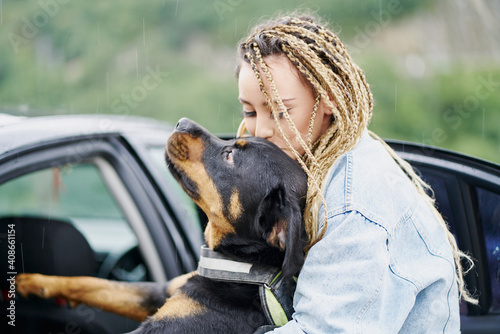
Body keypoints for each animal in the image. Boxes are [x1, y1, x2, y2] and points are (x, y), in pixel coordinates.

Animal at [15, 118, 306, 332]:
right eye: (232, 142)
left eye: (229, 155)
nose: (182, 122)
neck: (240, 268)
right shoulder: (161, 291)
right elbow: (90, 283)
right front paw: (31, 282)